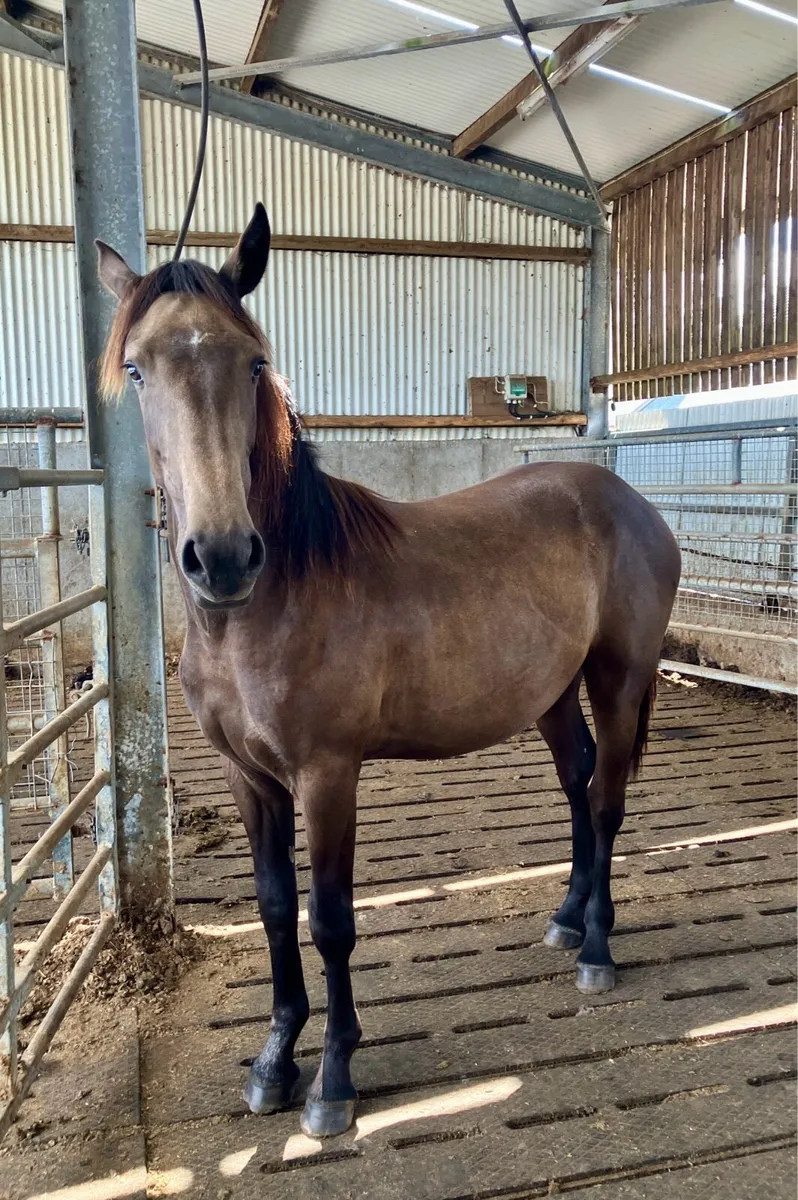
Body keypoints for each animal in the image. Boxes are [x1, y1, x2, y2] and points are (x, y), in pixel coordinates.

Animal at [96, 203, 681, 1138]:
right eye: (136, 368)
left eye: (252, 361)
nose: (221, 557)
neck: (268, 603)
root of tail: (628, 501)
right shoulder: (246, 777)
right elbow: (274, 908)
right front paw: (274, 1062)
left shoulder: (328, 774)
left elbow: (331, 920)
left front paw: (333, 1079)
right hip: (552, 694)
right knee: (580, 784)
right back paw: (569, 919)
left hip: (619, 678)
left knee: (606, 800)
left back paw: (595, 945)